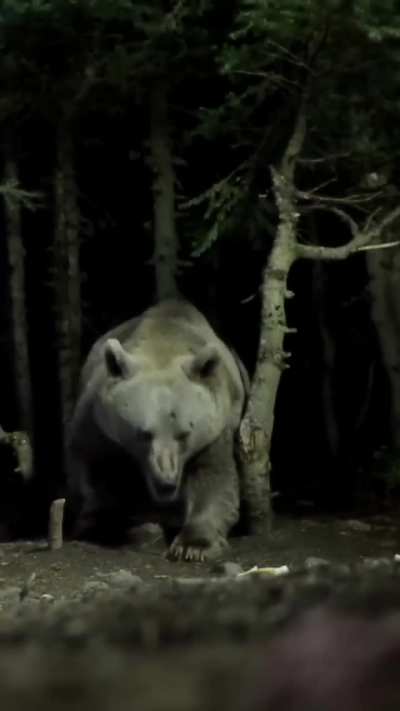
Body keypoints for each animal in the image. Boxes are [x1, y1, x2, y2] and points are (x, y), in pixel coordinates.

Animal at [65, 299, 249, 562]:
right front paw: (105, 524)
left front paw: (194, 545)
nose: (167, 482)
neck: (162, 343)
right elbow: (91, 468)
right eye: (143, 433)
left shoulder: (215, 430)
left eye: (184, 433)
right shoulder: (98, 424)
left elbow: (214, 480)